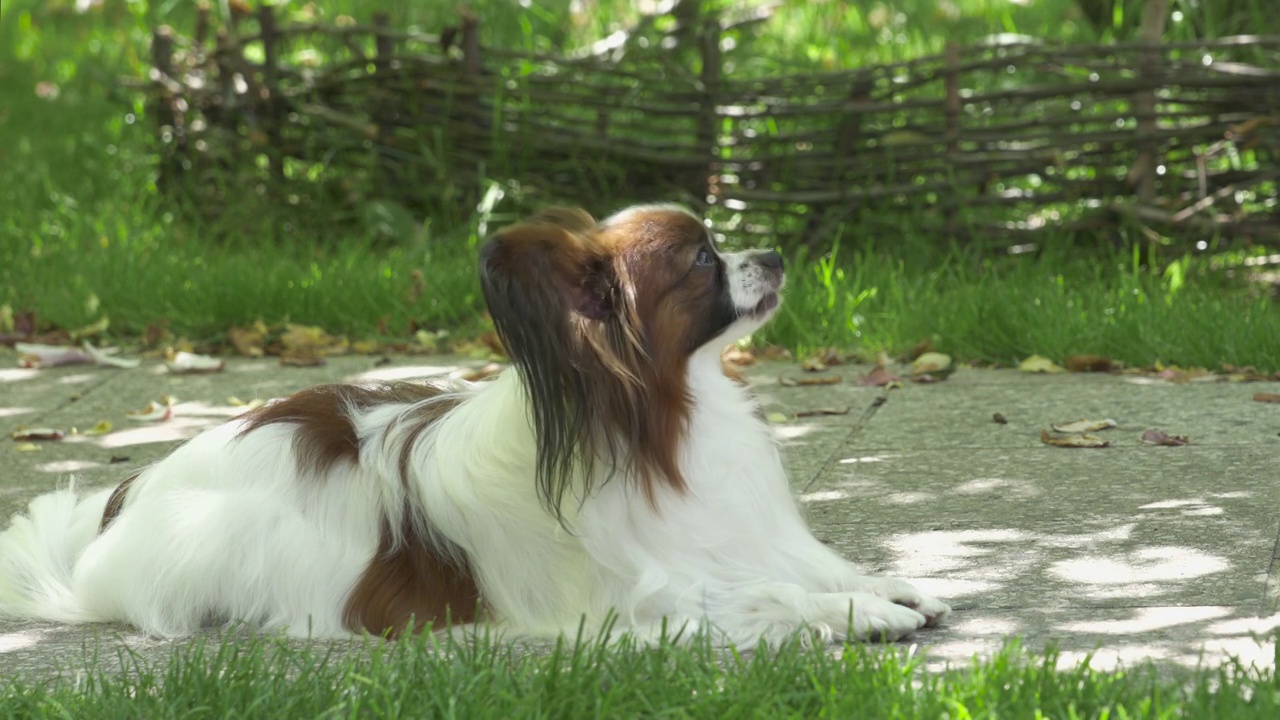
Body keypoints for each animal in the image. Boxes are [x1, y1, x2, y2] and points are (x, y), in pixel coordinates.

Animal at [0, 203, 952, 645]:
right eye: (701, 260)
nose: (778, 255)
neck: (662, 415)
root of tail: (120, 513)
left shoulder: (732, 533)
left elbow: (808, 563)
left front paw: (885, 585)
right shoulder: (649, 593)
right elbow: (772, 591)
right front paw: (861, 613)